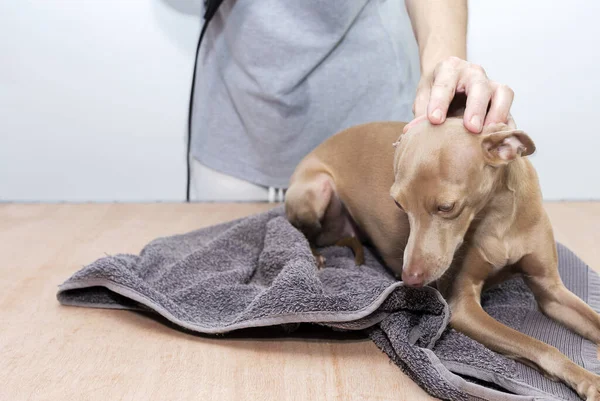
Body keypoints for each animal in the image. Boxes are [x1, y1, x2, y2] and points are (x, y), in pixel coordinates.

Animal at [284, 118, 600, 396]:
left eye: (447, 207)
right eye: (398, 203)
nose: (409, 278)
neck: (497, 217)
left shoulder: (550, 289)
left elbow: (590, 320)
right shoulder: (462, 307)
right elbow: (541, 346)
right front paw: (588, 380)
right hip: (317, 189)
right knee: (300, 229)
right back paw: (316, 257)